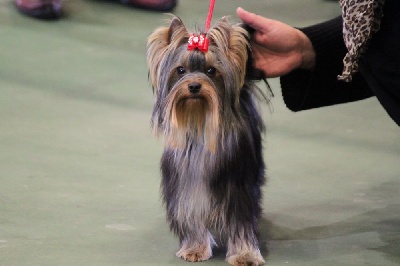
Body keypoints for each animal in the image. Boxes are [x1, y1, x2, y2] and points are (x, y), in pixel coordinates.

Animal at [147, 15, 268, 264]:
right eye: (180, 70)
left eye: (211, 71)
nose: (194, 85)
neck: (199, 123)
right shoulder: (186, 187)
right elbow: (191, 215)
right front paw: (195, 248)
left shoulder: (239, 186)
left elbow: (241, 221)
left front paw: (245, 254)